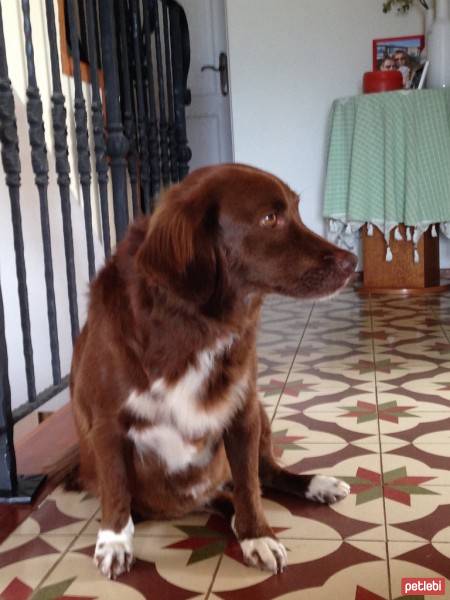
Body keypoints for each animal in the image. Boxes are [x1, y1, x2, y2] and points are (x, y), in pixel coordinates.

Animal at [70, 163, 356, 576]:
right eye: (270, 219)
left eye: (297, 210)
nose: (352, 262)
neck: (195, 325)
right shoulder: (106, 423)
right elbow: (116, 489)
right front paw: (114, 543)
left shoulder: (243, 411)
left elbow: (250, 486)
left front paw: (258, 536)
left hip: (262, 415)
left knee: (266, 473)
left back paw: (315, 485)